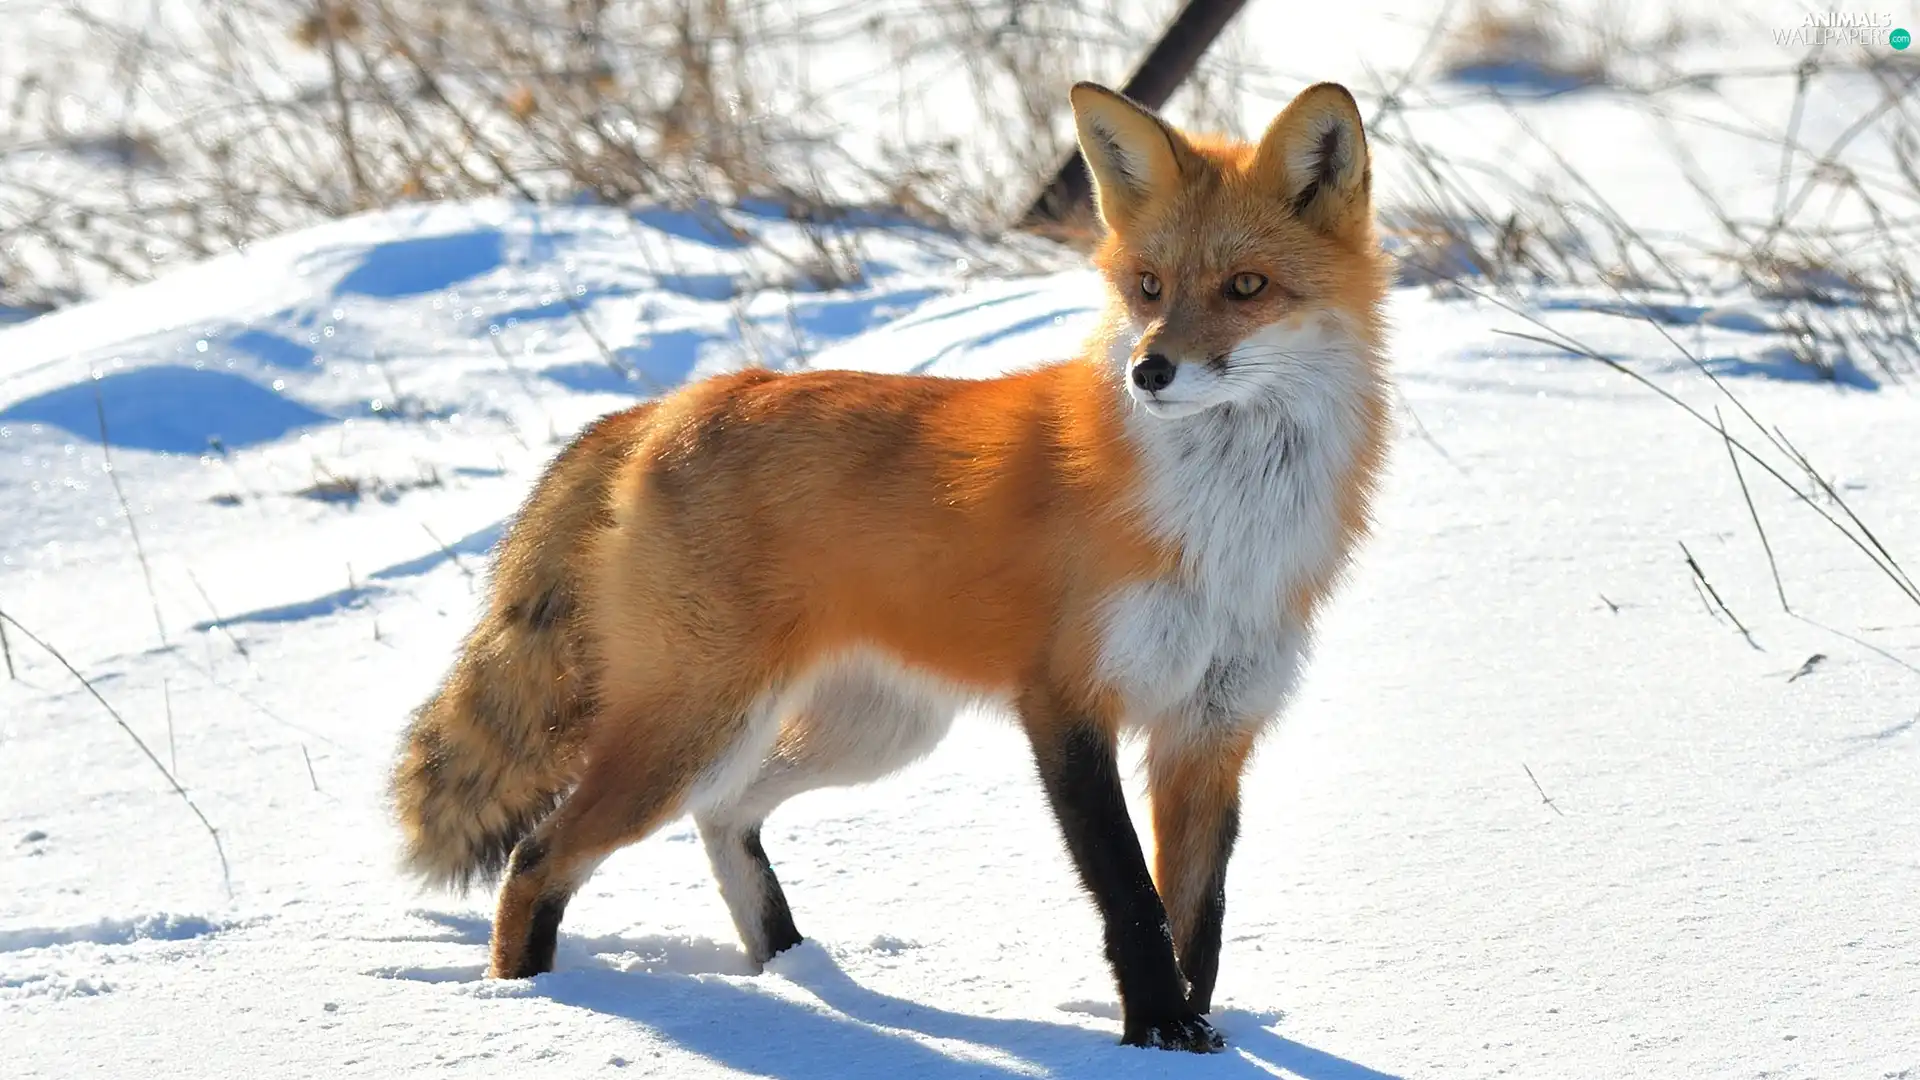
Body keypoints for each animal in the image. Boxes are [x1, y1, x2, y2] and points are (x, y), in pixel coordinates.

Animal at [389, 82, 1390, 1053]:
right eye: (1149, 287)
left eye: (1246, 286)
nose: (1148, 371)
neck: (1225, 530)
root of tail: (682, 399)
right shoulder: (1067, 703)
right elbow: (1131, 901)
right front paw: (1156, 1033)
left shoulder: (1213, 726)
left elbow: (1201, 917)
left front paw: (1201, 1029)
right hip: (699, 724)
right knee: (539, 856)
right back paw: (528, 1006)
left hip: (870, 731)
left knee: (722, 815)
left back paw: (791, 969)